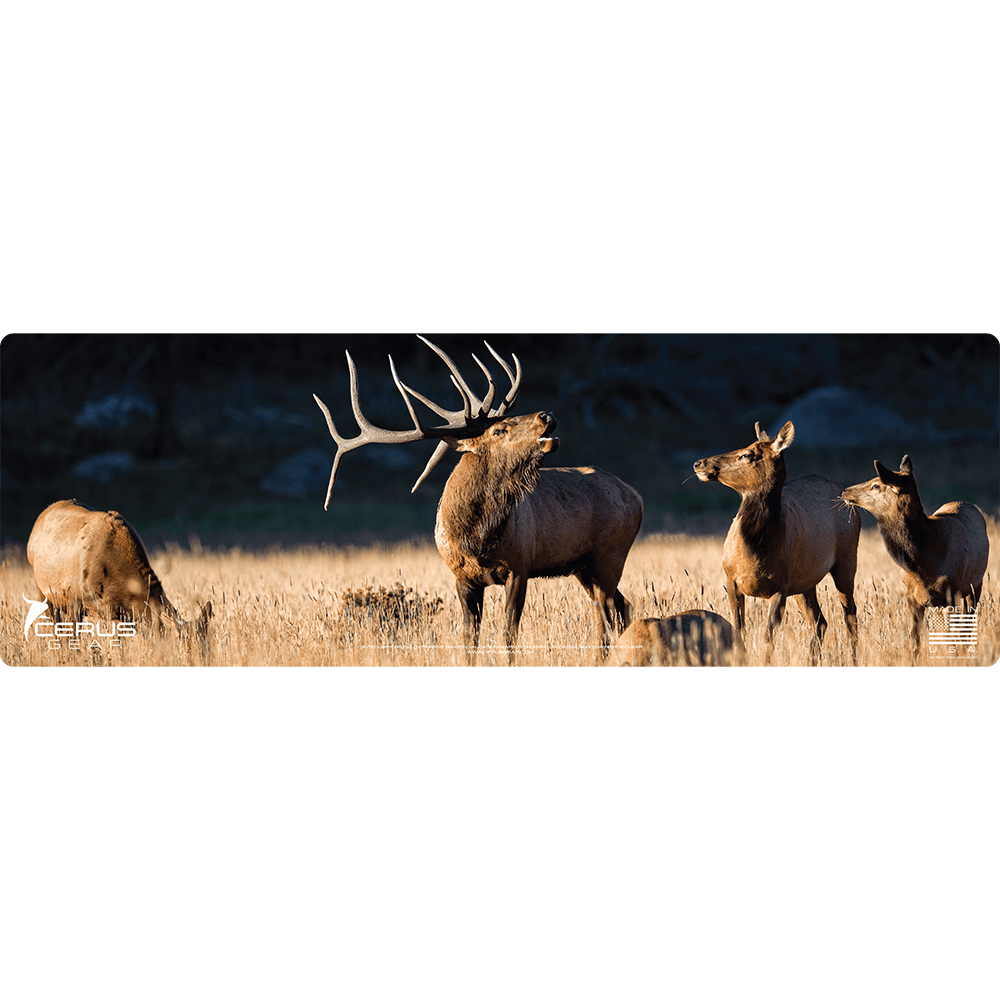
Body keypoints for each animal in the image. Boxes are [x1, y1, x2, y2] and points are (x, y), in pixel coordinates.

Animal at [312, 337, 643, 662]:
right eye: (499, 429)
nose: (547, 415)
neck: (476, 538)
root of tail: (637, 496)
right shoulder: (462, 577)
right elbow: (469, 639)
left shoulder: (520, 567)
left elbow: (508, 635)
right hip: (584, 566)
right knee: (619, 608)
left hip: (610, 554)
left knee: (608, 613)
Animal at [693, 421, 860, 662]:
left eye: (747, 454)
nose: (699, 463)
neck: (754, 552)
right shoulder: (731, 578)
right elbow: (739, 630)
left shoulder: (780, 586)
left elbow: (767, 638)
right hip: (805, 582)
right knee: (821, 622)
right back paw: (812, 660)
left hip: (847, 559)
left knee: (850, 616)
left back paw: (853, 657)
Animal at [841, 456, 989, 646]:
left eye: (876, 485)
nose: (845, 491)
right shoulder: (912, 596)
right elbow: (914, 639)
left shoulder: (952, 592)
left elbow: (953, 637)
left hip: (976, 585)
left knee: (967, 626)